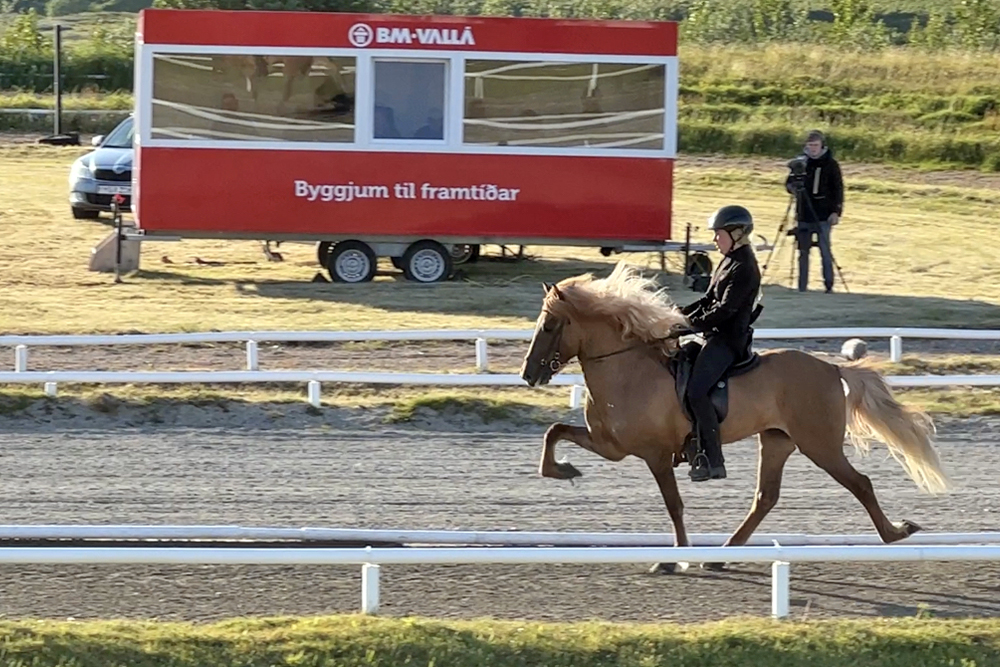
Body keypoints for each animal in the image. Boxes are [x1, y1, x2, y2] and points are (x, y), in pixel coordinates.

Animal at [520, 264, 948, 572]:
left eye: (550, 324)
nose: (528, 374)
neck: (628, 371)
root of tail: (831, 368)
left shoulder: (654, 455)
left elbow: (673, 505)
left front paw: (673, 559)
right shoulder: (611, 445)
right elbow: (555, 431)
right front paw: (563, 470)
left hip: (820, 445)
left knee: (860, 483)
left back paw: (895, 533)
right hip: (777, 441)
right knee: (765, 498)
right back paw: (723, 554)